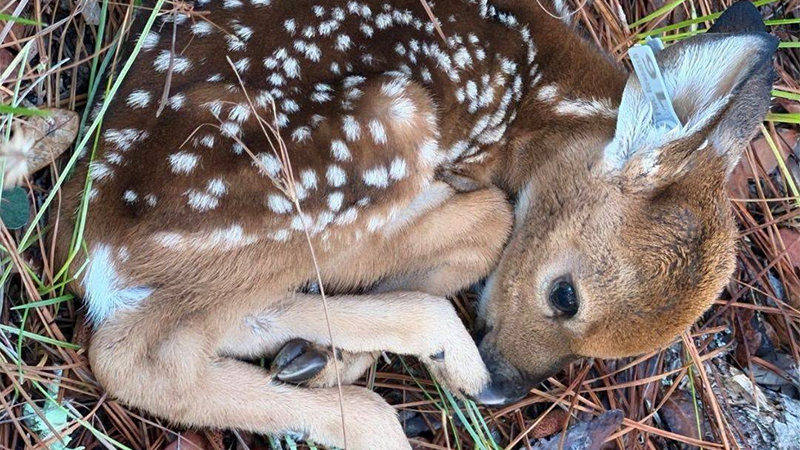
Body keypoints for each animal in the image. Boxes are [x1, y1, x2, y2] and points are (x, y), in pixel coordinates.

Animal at [35, 0, 777, 448]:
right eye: (564, 295)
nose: (506, 387)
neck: (539, 100)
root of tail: (89, 239)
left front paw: (327, 355)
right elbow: (490, 220)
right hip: (358, 150)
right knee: (136, 357)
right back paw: (383, 410)